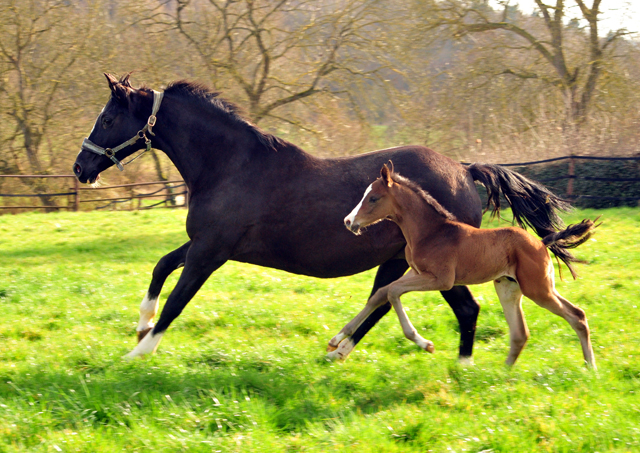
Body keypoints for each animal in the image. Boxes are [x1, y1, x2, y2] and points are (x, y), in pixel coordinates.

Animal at [336, 162, 600, 368]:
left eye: (373, 198)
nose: (348, 221)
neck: (430, 231)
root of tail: (542, 242)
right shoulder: (416, 272)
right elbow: (381, 293)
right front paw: (337, 339)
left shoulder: (441, 279)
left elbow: (392, 292)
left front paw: (425, 343)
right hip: (508, 288)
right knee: (520, 333)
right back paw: (502, 373)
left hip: (538, 289)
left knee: (576, 315)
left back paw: (590, 367)